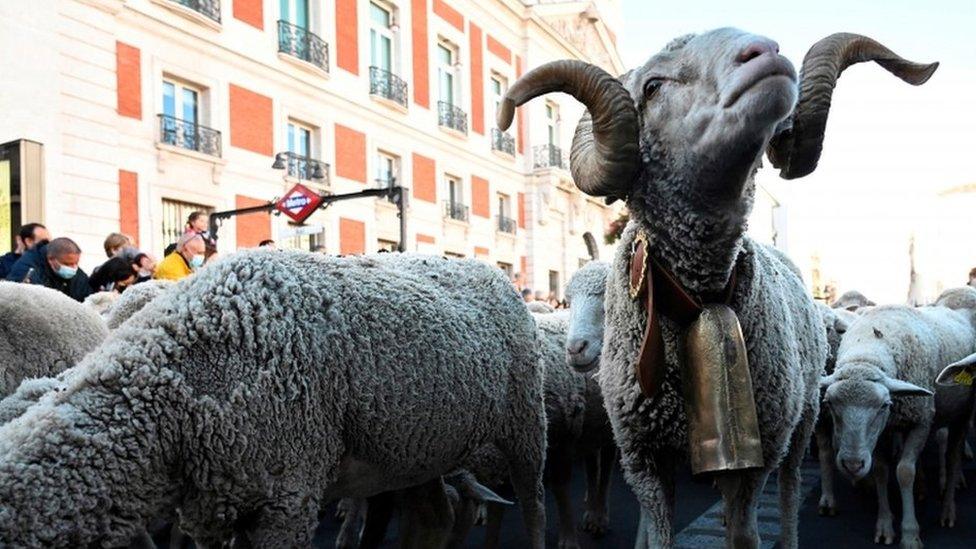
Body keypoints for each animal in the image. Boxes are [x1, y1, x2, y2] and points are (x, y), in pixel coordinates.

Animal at [0, 249, 548, 548]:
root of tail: (488, 269)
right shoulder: (222, 503)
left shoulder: (287, 498)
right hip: (414, 446)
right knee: (435, 517)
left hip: (525, 422)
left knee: (533, 504)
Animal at [496, 25, 936, 544]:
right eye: (652, 87)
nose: (766, 53)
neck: (696, 298)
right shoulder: (642, 455)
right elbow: (659, 530)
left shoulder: (755, 453)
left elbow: (745, 532)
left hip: (804, 415)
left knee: (790, 488)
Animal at [824, 304, 976, 544]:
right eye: (828, 403)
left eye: (884, 405)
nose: (852, 465)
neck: (867, 354)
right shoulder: (881, 433)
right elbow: (880, 470)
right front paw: (885, 526)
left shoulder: (921, 422)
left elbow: (904, 472)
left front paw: (910, 535)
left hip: (962, 414)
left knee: (953, 459)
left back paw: (947, 510)